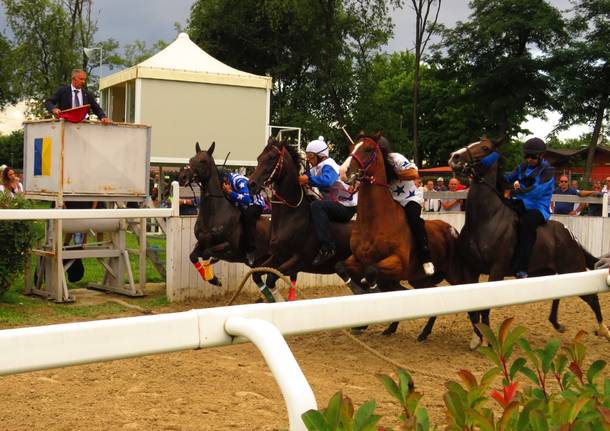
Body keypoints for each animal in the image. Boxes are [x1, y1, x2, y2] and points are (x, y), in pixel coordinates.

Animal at [183, 143, 292, 304]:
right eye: (191, 159)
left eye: (202, 161)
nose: (183, 176)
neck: (215, 213)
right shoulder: (201, 242)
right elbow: (193, 256)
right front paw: (212, 278)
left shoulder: (229, 247)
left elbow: (207, 253)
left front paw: (214, 278)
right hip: (261, 262)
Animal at [446, 137, 608, 346]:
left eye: (485, 147)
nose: (454, 157)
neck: (485, 220)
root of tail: (570, 235)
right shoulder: (470, 269)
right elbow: (472, 307)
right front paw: (477, 337)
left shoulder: (496, 270)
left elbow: (485, 307)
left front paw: (489, 341)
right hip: (549, 272)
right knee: (557, 294)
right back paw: (557, 323)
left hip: (572, 270)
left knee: (592, 298)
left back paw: (603, 329)